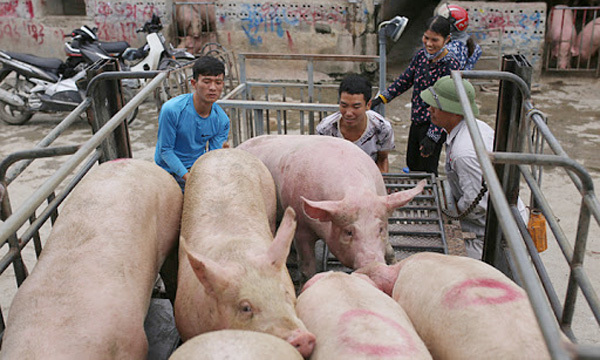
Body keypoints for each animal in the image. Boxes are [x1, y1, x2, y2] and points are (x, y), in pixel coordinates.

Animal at [237, 134, 424, 280]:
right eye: (349, 232)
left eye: (381, 228)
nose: (373, 264)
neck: (355, 190)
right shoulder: (301, 228)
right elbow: (307, 267)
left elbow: (390, 250)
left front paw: (394, 261)